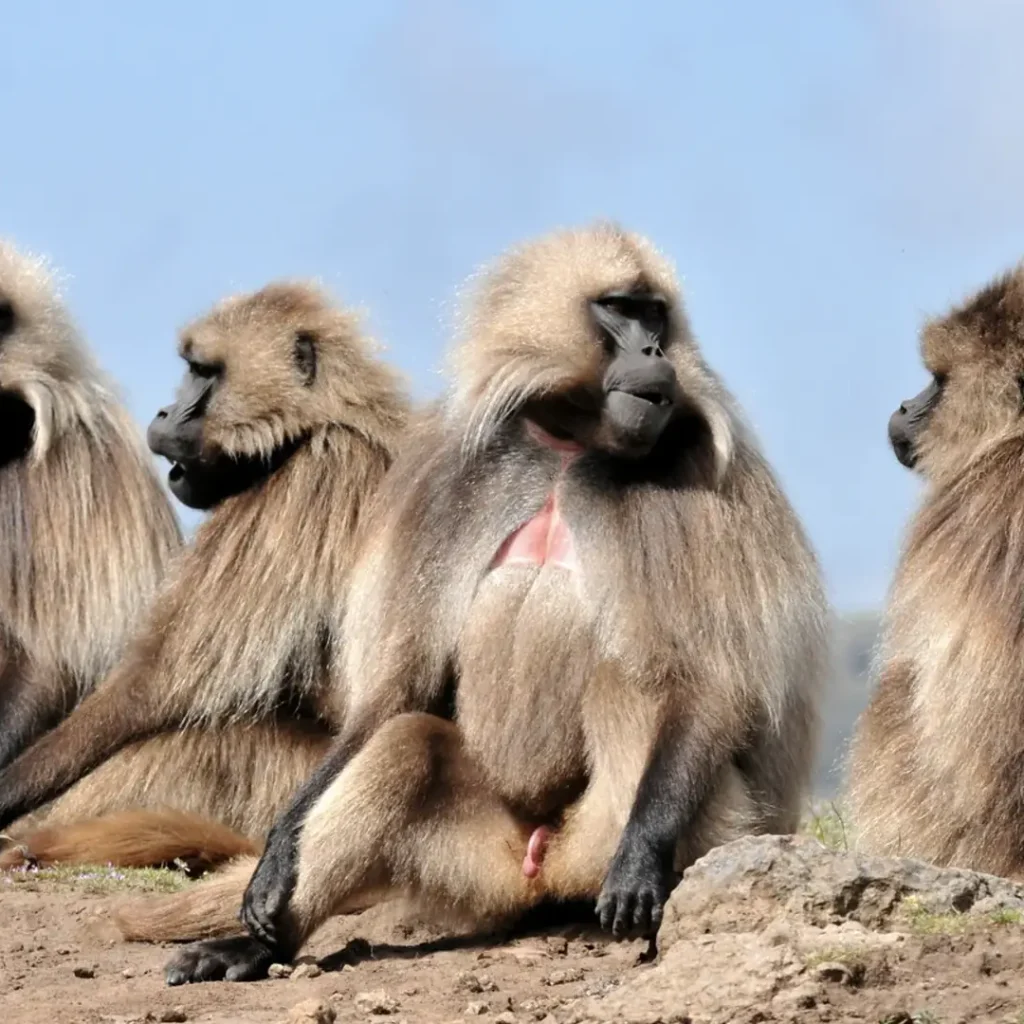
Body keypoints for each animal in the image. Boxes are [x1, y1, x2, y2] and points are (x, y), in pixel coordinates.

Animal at [115, 222, 828, 984]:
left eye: (655, 315)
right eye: (621, 310)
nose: (655, 354)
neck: (571, 445)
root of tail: (541, 868)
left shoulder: (702, 474)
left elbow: (711, 683)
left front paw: (642, 861)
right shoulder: (447, 473)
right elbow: (399, 690)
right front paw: (279, 851)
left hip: (649, 840)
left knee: (632, 682)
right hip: (480, 863)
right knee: (407, 745)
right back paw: (263, 944)